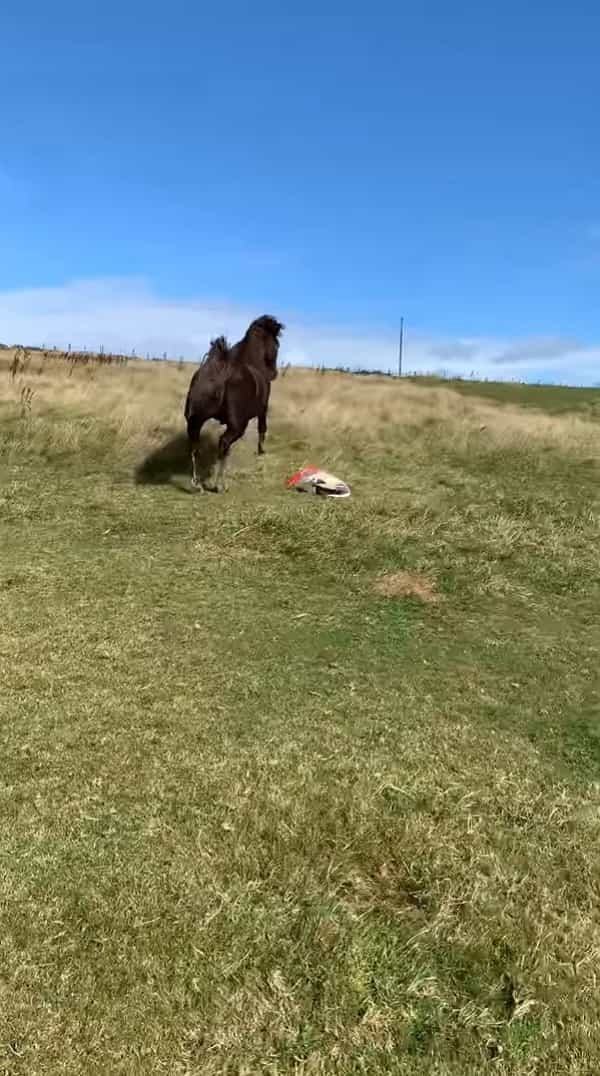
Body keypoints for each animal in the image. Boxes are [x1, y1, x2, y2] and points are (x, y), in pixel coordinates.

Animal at [183, 314, 283, 492]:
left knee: (195, 447)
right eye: (276, 344)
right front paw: (261, 451)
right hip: (238, 426)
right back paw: (219, 484)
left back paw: (197, 483)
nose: (274, 373)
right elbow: (262, 430)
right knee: (223, 443)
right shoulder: (263, 410)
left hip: (194, 422)